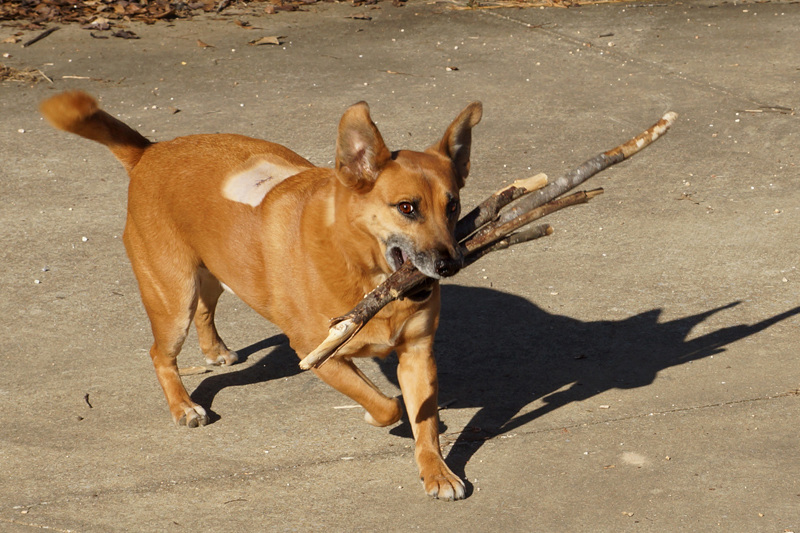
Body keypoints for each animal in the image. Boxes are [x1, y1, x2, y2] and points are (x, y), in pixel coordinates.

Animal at [40, 91, 482, 498]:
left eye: (453, 206)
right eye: (407, 208)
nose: (450, 264)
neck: (361, 268)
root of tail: (150, 151)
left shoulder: (418, 354)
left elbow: (424, 425)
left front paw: (436, 471)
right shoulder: (318, 356)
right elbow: (387, 405)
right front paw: (379, 418)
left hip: (217, 273)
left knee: (205, 309)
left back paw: (215, 350)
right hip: (173, 300)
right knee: (160, 354)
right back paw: (183, 406)